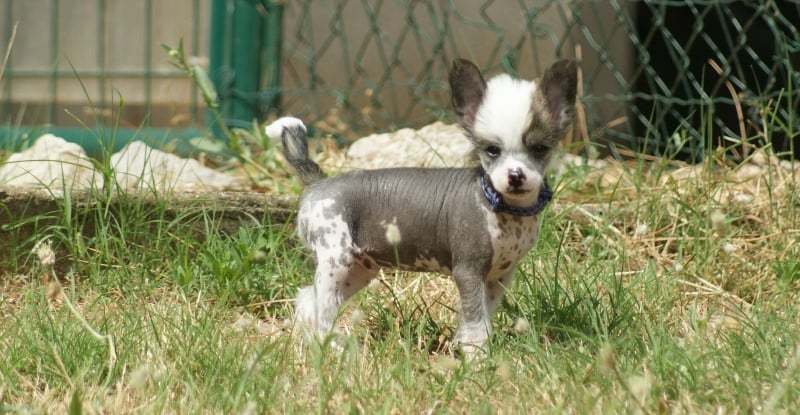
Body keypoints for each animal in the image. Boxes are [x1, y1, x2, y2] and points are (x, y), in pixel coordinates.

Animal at [266, 58, 577, 356]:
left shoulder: (498, 276)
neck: (501, 205)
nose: (515, 176)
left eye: (540, 149)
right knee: (322, 314)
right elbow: (476, 323)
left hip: (358, 269)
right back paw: (336, 349)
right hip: (336, 262)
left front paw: (467, 350)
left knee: (309, 301)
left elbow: (479, 318)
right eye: (492, 150)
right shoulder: (468, 271)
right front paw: (477, 359)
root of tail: (318, 181)